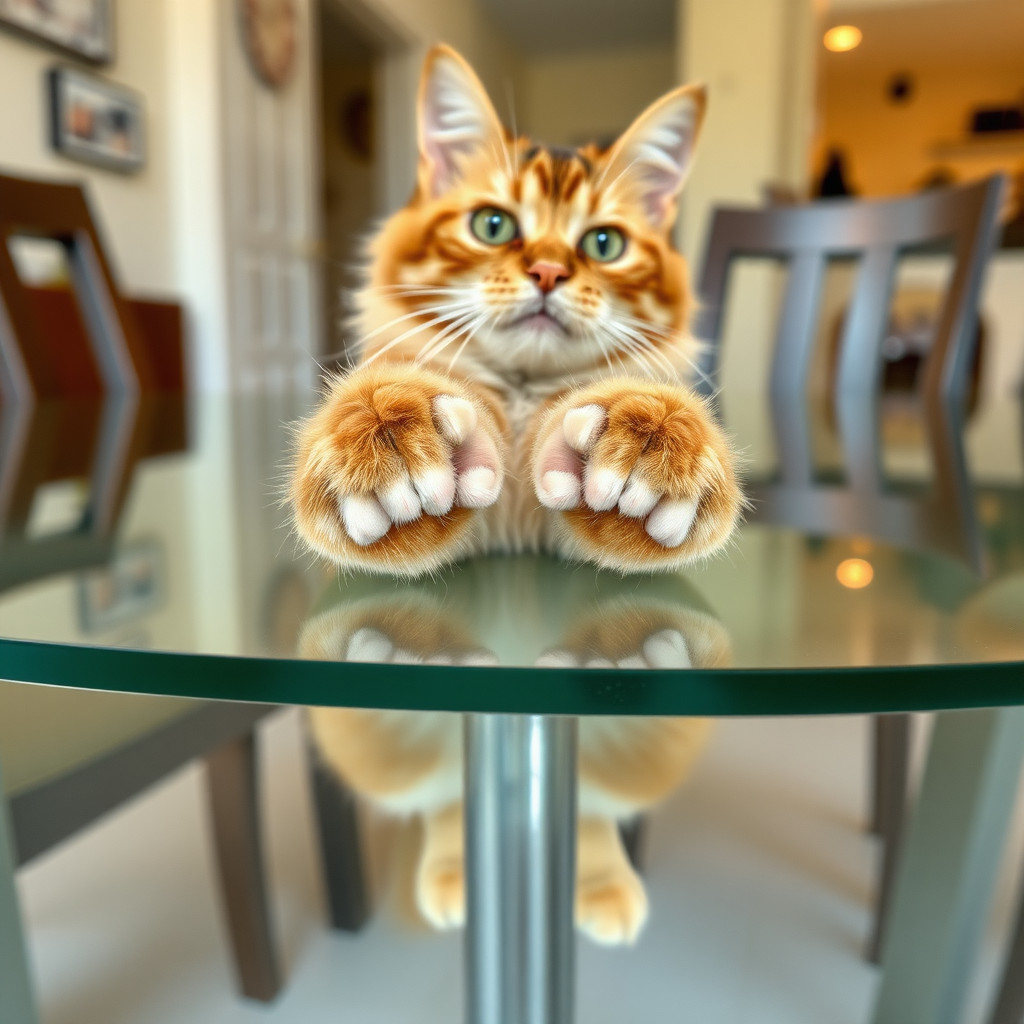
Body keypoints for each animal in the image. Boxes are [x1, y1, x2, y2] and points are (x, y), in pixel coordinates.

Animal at [292, 46, 741, 577]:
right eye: (493, 225)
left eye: (604, 243)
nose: (548, 271)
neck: (522, 401)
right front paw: (389, 432)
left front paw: (652, 436)